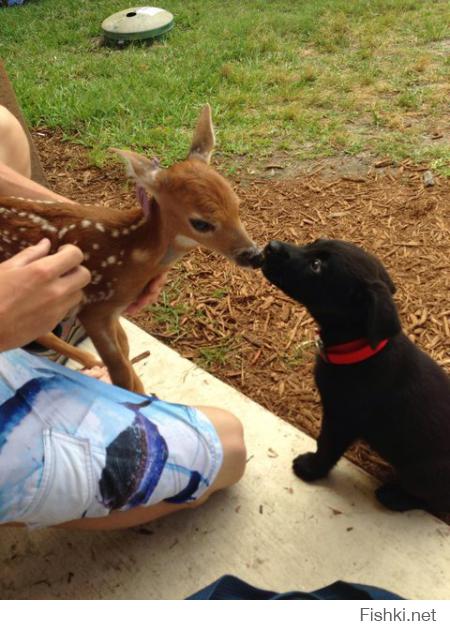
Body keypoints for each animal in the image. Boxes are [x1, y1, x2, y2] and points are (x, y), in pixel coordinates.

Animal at [0, 108, 260, 392]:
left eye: (237, 204)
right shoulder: (95, 306)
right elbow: (121, 371)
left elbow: (126, 352)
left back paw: (90, 363)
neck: (132, 252)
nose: (252, 254)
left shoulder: (114, 310)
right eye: (200, 223)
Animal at [262, 239, 450, 516]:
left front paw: (311, 468)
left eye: (316, 266)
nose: (271, 246)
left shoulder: (341, 419)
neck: (360, 350)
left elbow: (326, 446)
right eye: (314, 243)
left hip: (422, 472)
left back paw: (395, 497)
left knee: (433, 500)